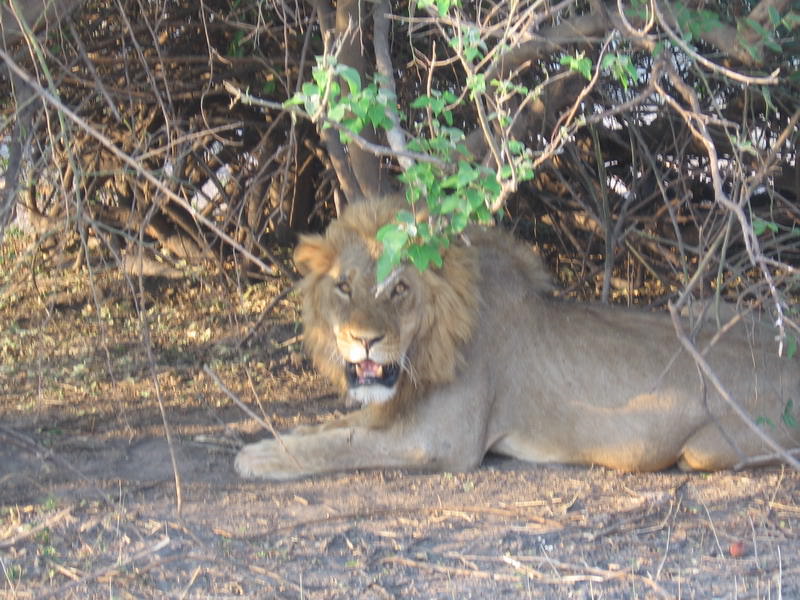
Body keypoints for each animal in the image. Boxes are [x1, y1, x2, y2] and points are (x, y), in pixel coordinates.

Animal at [236, 199, 800, 480]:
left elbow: (344, 444)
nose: (365, 340)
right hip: (704, 308)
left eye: (399, 289)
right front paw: (285, 435)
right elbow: (339, 425)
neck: (429, 347)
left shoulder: (442, 442)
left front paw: (261, 457)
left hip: (706, 448)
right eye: (343, 286)